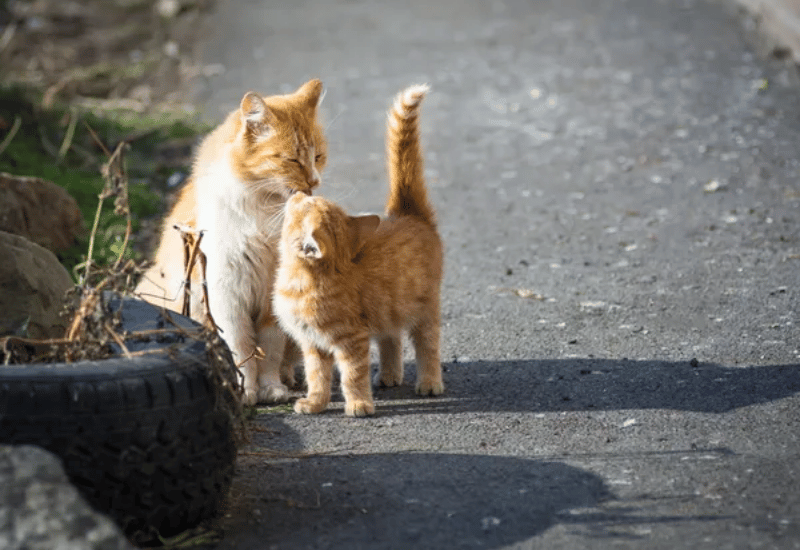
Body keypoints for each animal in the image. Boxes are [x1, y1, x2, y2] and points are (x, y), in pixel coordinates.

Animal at [136, 80, 326, 406]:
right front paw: (246, 391)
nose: (314, 182)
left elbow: (269, 350)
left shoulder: (271, 299)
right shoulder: (227, 294)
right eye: (292, 159)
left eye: (318, 157)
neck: (264, 212)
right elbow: (241, 348)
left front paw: (271, 387)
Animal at [272, 84, 440, 416]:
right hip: (389, 308)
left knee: (427, 344)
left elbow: (352, 374)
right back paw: (389, 375)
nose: (300, 192)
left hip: (425, 308)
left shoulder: (352, 340)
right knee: (391, 339)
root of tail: (408, 215)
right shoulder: (313, 344)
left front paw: (359, 404)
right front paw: (315, 402)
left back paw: (429, 382)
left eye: (305, 205)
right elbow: (317, 376)